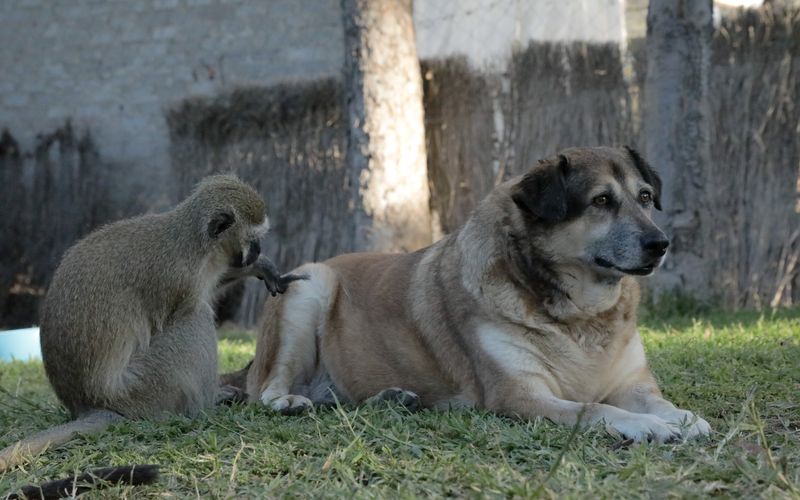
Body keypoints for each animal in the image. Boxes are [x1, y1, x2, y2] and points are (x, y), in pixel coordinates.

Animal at [247, 147, 708, 442]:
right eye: (601, 201)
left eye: (645, 197)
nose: (661, 243)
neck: (581, 312)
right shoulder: (520, 396)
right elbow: (597, 409)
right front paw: (650, 427)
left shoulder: (632, 384)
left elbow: (659, 402)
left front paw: (681, 418)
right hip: (308, 286)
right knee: (267, 389)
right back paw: (289, 401)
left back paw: (391, 399)